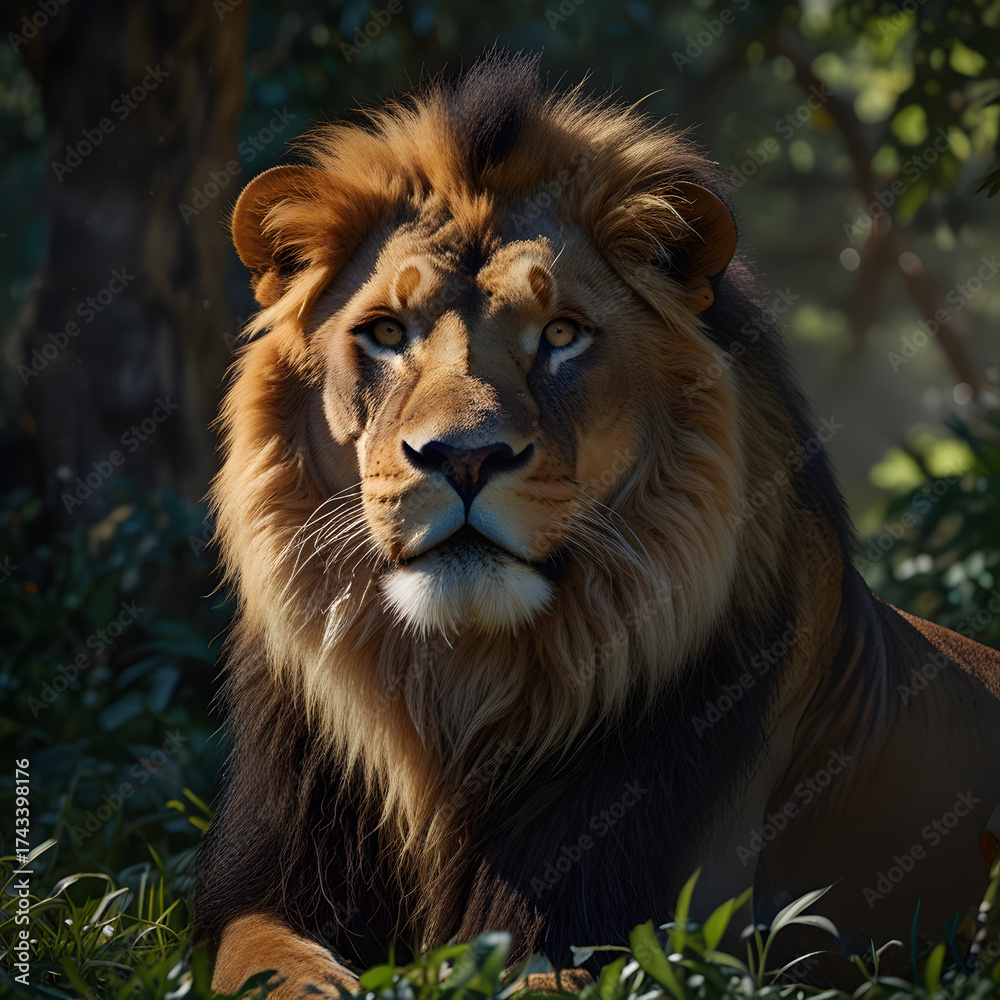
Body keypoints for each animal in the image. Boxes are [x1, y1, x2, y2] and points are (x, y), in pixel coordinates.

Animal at [195, 51, 1000, 996]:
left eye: (563, 334)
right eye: (387, 332)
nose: (463, 458)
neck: (459, 692)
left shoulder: (638, 939)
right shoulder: (265, 887)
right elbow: (258, 959)